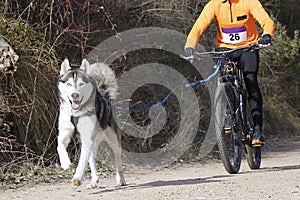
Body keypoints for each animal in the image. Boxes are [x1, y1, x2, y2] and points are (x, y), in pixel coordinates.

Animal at [57, 57, 125, 188]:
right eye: (68, 84)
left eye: (81, 84)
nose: (74, 95)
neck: (76, 113)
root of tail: (105, 97)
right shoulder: (65, 132)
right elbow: (60, 146)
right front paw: (66, 163)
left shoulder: (87, 138)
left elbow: (82, 162)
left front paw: (77, 178)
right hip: (92, 143)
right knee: (92, 161)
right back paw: (94, 181)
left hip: (114, 141)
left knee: (118, 159)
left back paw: (121, 179)